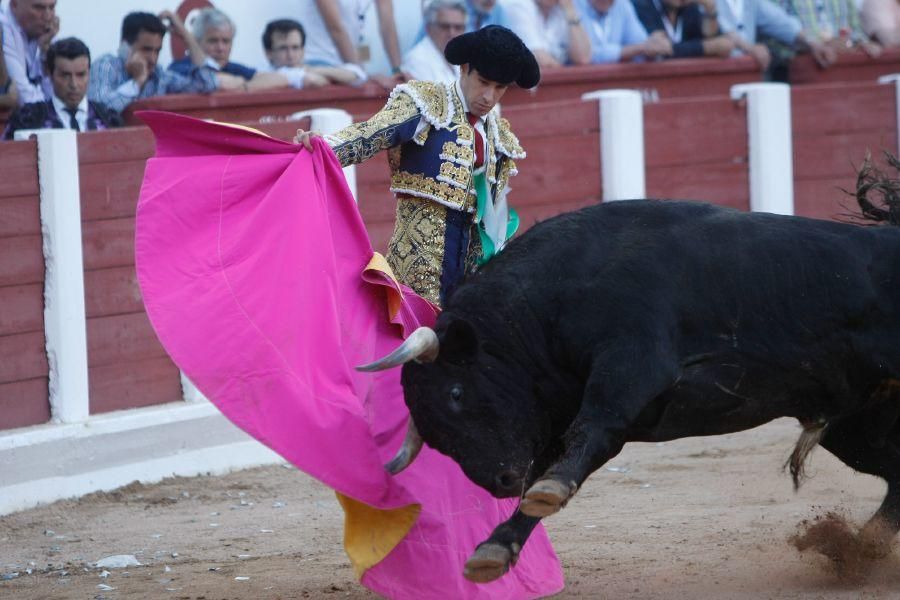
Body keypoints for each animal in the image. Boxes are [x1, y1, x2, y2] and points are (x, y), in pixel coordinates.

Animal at [362, 195, 900, 584]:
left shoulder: (632, 364)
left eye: (456, 393)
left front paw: (545, 493)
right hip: (856, 424)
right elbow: (560, 467)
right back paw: (864, 546)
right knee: (896, 477)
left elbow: (588, 432)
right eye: (434, 438)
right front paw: (495, 549)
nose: (501, 480)